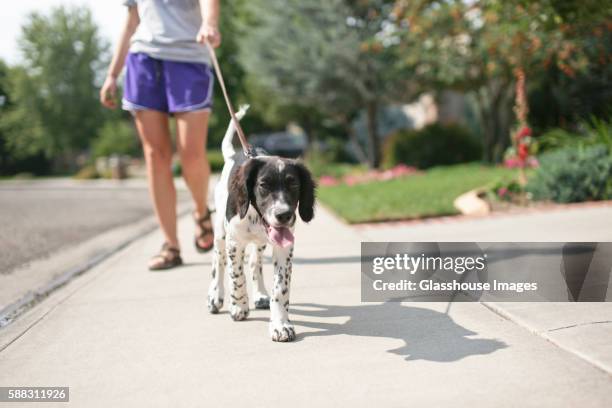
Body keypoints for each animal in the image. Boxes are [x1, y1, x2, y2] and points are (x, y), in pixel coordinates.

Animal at [209, 106, 318, 342]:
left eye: (294, 184)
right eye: (263, 185)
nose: (284, 215)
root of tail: (232, 154)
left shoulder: (284, 247)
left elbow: (280, 289)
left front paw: (280, 324)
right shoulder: (235, 243)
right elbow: (236, 275)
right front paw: (238, 306)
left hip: (261, 242)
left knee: (254, 262)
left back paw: (259, 295)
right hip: (221, 233)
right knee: (218, 262)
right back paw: (215, 296)